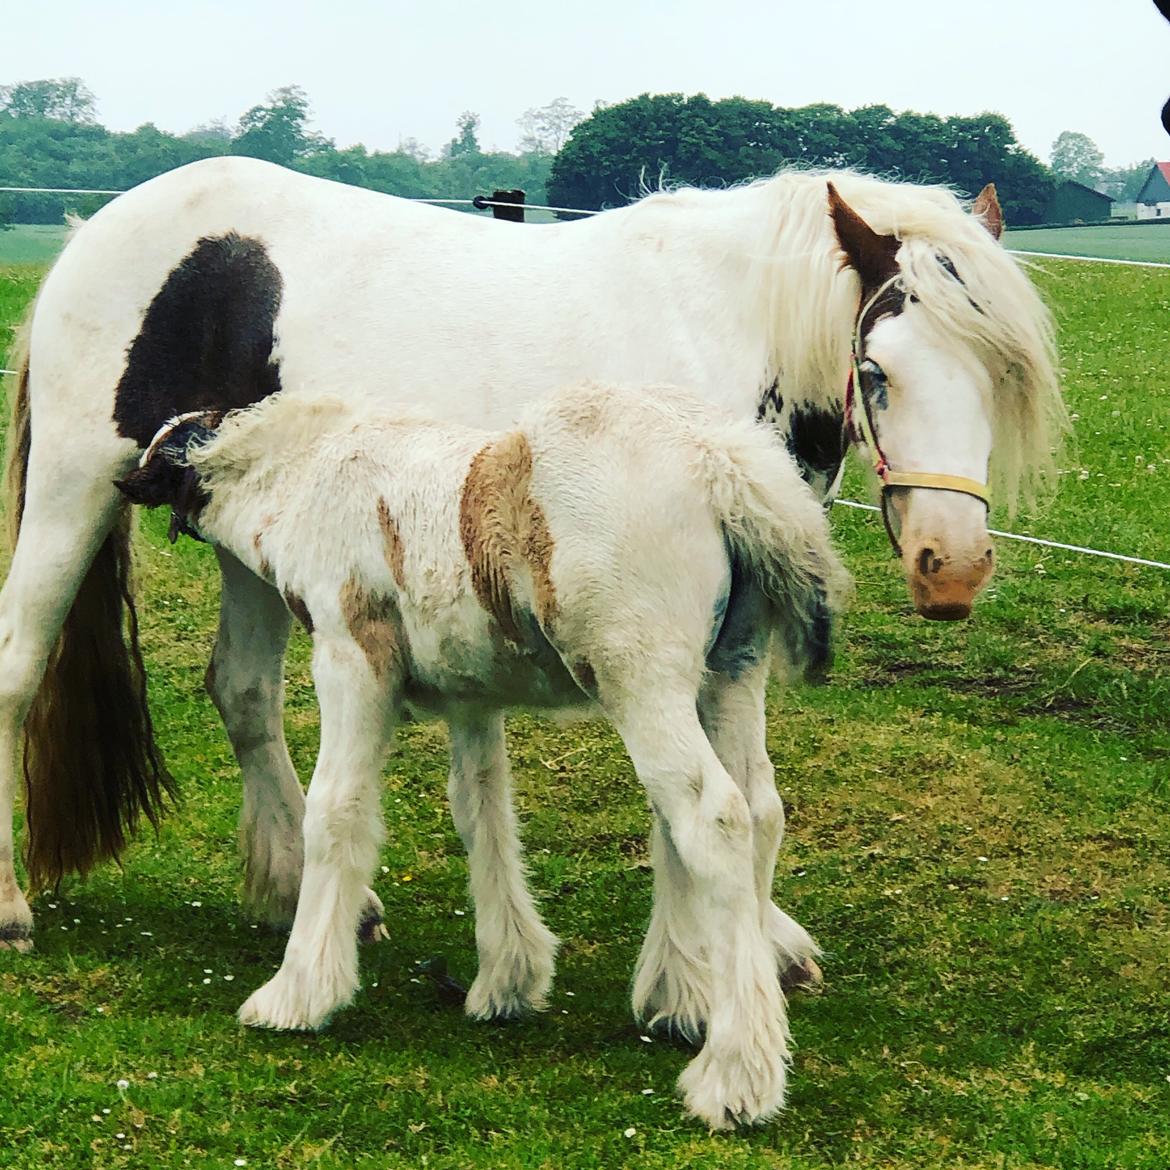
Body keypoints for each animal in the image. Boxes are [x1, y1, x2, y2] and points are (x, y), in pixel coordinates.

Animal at [0, 157, 1062, 1006]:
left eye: (998, 380)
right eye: (877, 372)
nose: (952, 569)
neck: (720, 332)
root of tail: (95, 232)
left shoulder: (737, 632)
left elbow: (754, 797)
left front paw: (759, 946)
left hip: (248, 529)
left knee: (244, 693)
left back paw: (306, 892)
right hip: (72, 488)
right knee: (19, 668)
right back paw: (13, 907)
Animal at [116, 381, 851, 1123]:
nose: (126, 487)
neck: (308, 478)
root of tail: (722, 465)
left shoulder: (351, 659)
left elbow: (336, 812)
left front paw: (296, 995)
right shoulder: (472, 695)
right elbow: (482, 812)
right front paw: (507, 983)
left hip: (641, 676)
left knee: (712, 818)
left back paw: (735, 1074)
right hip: (728, 673)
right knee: (755, 811)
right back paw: (685, 1003)